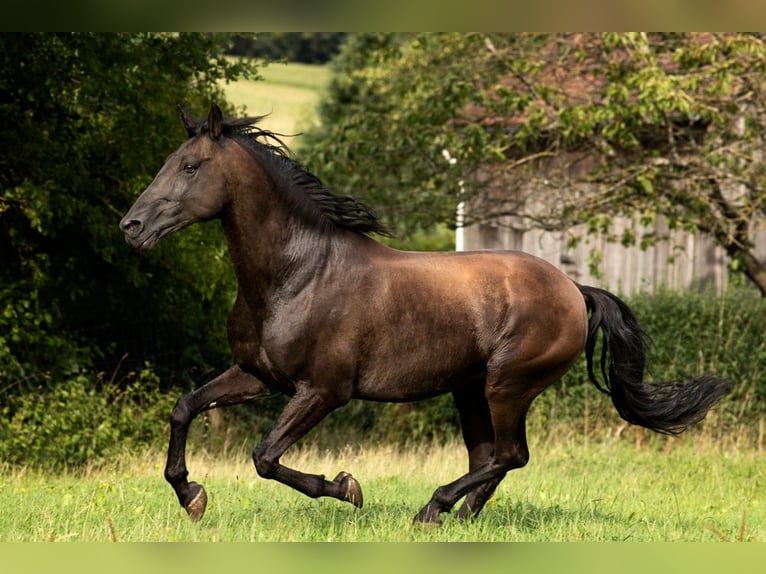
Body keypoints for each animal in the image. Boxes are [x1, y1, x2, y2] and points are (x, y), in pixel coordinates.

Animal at [120, 103, 732, 528]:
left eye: (191, 166)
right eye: (168, 163)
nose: (131, 227)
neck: (298, 274)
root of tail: (574, 290)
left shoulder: (323, 390)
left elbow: (265, 456)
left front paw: (347, 487)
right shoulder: (258, 375)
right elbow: (185, 408)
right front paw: (191, 496)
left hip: (507, 385)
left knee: (510, 454)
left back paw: (431, 508)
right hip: (470, 389)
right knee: (493, 457)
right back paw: (455, 518)